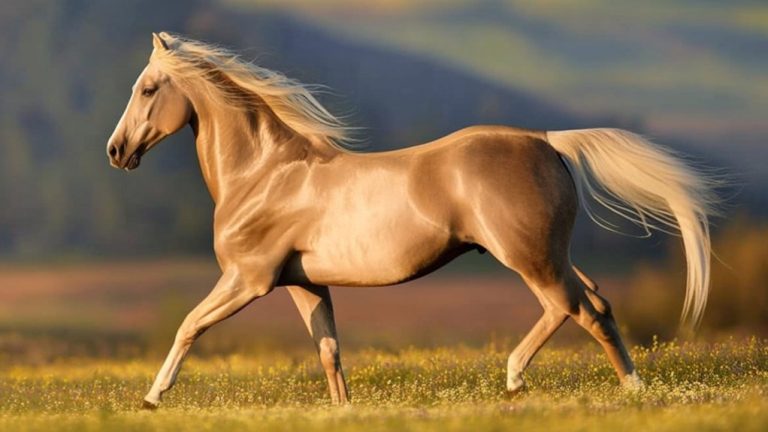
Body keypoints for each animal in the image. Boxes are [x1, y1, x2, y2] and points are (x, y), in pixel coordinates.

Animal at [107, 32, 716, 408]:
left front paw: (152, 397)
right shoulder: (304, 284)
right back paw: (612, 388)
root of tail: (545, 140)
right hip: (552, 254)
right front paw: (344, 411)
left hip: (528, 257)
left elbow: (189, 325)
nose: (116, 151)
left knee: (575, 309)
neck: (265, 175)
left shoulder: (247, 280)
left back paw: (539, 381)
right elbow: (329, 350)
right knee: (595, 303)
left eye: (148, 88)